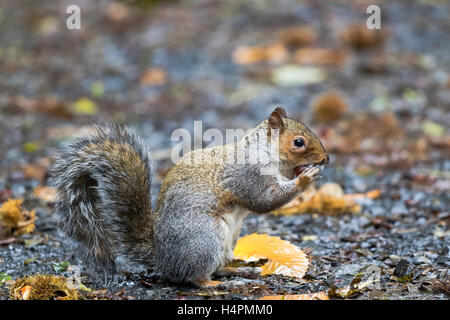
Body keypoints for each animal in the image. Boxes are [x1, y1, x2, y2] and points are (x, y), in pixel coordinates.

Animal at [51, 107, 326, 288]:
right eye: (298, 142)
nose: (326, 159)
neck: (263, 152)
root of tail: (163, 257)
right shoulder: (248, 175)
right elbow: (264, 200)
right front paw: (306, 178)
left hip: (226, 241)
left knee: (217, 267)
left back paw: (237, 272)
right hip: (205, 239)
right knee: (195, 277)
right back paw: (217, 286)